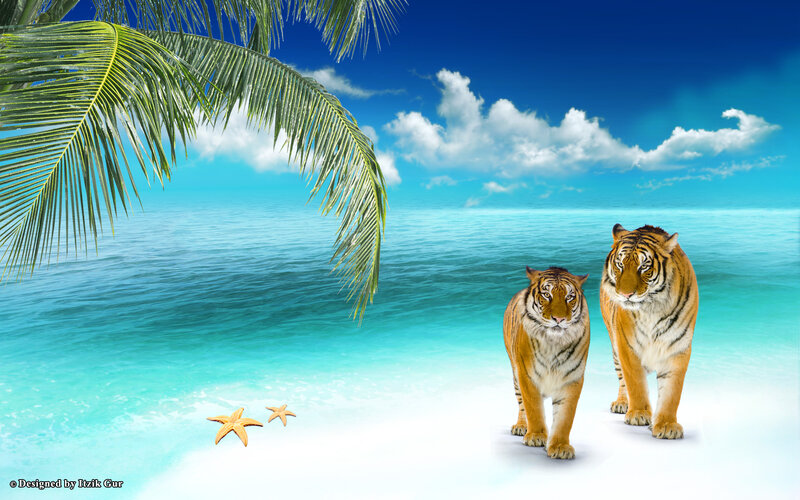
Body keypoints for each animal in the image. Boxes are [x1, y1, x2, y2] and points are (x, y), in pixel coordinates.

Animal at [503, 266, 590, 459]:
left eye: (569, 297)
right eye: (546, 295)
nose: (558, 319)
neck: (553, 343)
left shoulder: (572, 378)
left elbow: (565, 417)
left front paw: (560, 446)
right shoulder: (527, 376)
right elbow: (533, 408)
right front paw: (536, 437)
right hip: (515, 374)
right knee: (521, 404)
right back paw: (521, 427)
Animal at [600, 224, 699, 439]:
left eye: (643, 266)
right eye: (620, 264)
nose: (625, 294)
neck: (653, 308)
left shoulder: (677, 348)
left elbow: (671, 392)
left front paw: (667, 425)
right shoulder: (627, 346)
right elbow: (635, 382)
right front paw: (638, 414)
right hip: (614, 346)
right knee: (622, 379)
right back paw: (622, 404)